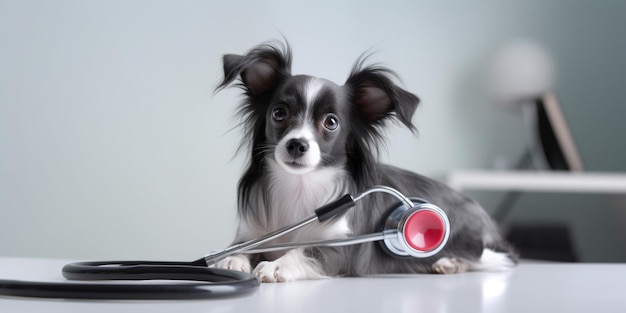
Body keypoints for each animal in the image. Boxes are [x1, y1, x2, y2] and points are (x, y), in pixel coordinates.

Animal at [212, 40, 516, 282]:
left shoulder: (341, 250)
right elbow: (240, 248)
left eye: (331, 122)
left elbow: (307, 250)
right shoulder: (250, 234)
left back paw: (450, 263)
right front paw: (232, 259)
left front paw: (278, 265)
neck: (300, 186)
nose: (297, 144)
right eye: (279, 113)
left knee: (492, 258)